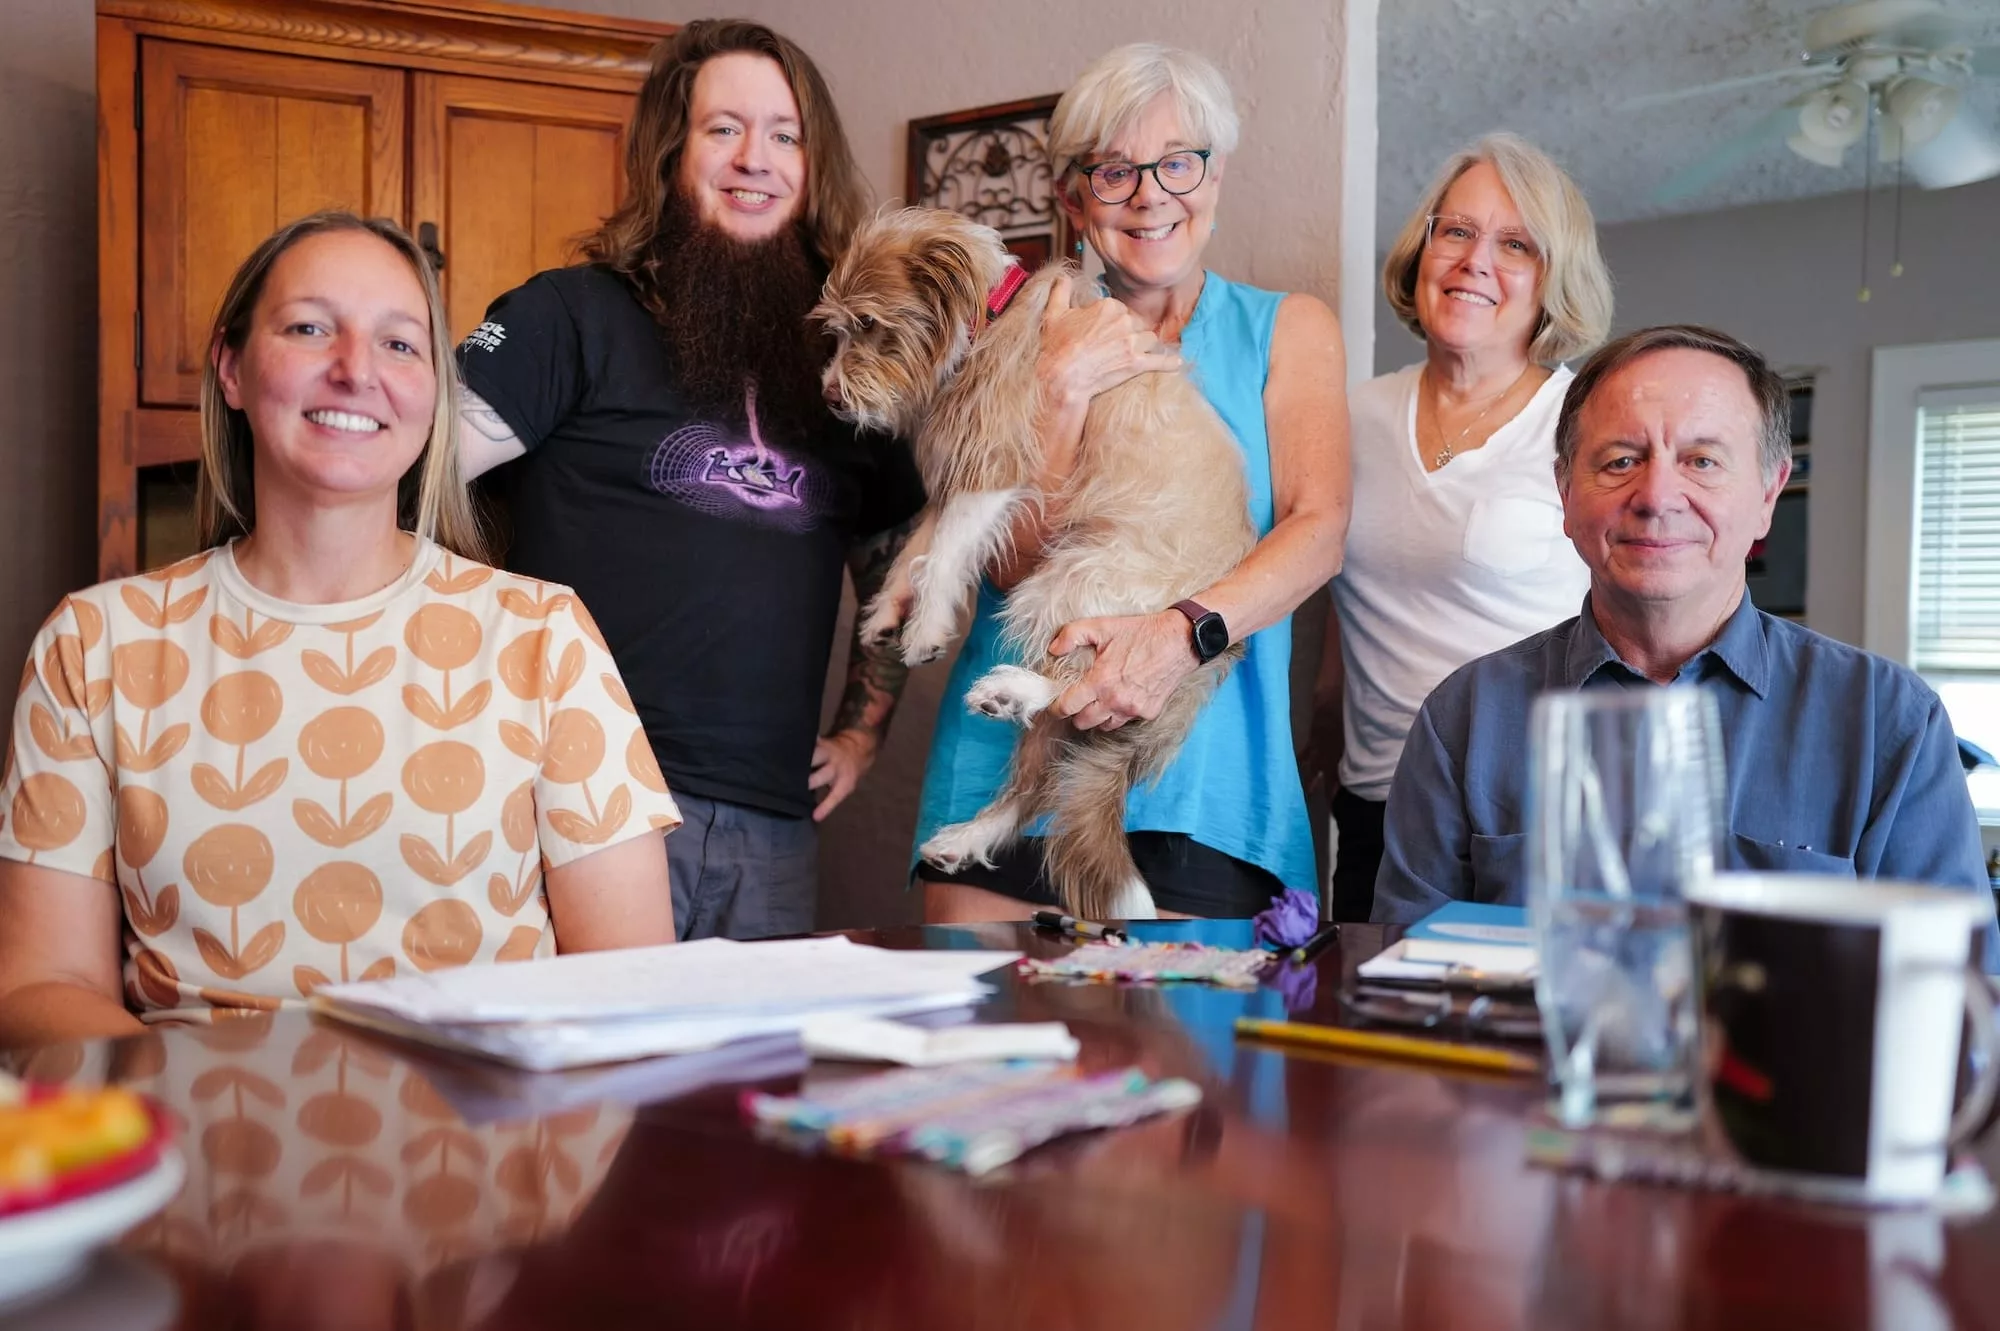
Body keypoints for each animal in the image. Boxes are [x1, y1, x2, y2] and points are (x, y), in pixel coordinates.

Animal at [812, 207, 1248, 919]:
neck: (993, 311)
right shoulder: (965, 463)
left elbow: (944, 553)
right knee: (1036, 787)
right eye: (840, 328)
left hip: (1076, 584)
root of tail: (1219, 651)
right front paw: (885, 613)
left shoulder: (996, 457)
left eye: (870, 325)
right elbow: (917, 546)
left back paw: (1015, 689)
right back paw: (964, 837)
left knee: (1082, 682)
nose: (829, 397)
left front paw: (924, 629)